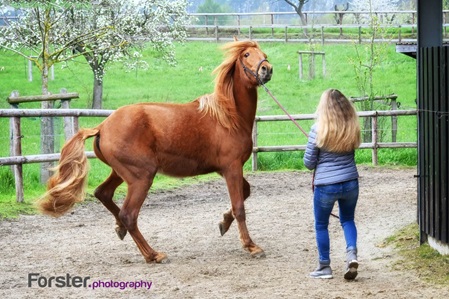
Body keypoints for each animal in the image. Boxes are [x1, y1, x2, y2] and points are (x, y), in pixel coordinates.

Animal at [38, 39, 272, 264]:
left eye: (264, 54)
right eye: (246, 54)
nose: (267, 69)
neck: (229, 117)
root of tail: (102, 126)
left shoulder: (225, 169)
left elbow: (245, 193)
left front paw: (223, 222)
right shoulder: (231, 167)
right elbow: (239, 206)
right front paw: (251, 246)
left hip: (122, 173)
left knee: (103, 194)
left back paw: (121, 229)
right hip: (141, 177)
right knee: (129, 215)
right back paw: (153, 254)